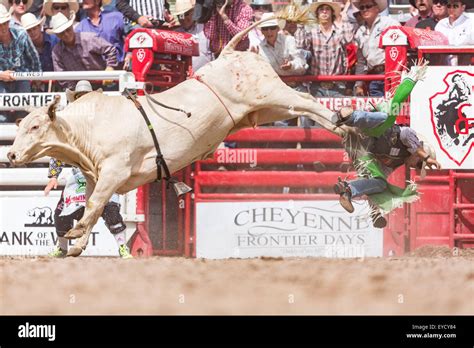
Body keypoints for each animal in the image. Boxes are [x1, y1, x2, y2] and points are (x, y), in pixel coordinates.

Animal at [7, 20, 340, 256]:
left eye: (35, 127)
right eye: (21, 127)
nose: (10, 155)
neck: (85, 129)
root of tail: (230, 52)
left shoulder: (115, 172)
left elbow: (96, 205)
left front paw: (76, 236)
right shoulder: (95, 178)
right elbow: (93, 206)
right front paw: (77, 245)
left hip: (270, 92)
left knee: (305, 99)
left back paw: (342, 120)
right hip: (264, 110)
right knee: (302, 104)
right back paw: (341, 127)